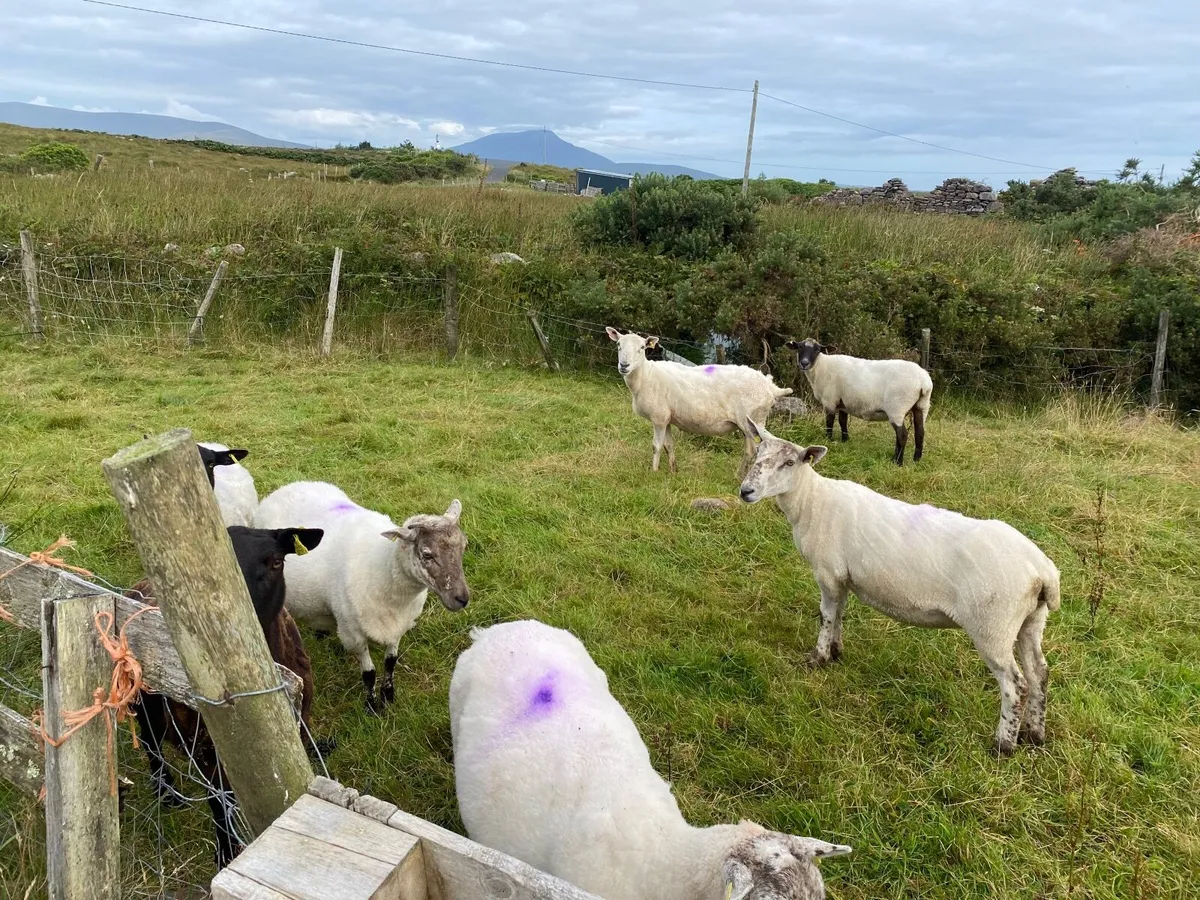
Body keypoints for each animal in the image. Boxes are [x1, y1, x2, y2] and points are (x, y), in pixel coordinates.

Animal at [128, 525, 324, 868]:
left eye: (276, 562)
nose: (234, 624)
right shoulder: (209, 749)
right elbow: (220, 802)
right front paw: (225, 852)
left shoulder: (300, 727)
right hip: (144, 698)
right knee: (151, 742)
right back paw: (166, 792)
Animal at [254, 481, 470, 713]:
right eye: (427, 554)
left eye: (464, 546)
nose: (462, 598)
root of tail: (290, 486)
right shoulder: (353, 634)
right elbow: (369, 673)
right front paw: (371, 706)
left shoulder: (398, 624)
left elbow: (390, 662)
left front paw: (388, 695)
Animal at [606, 327, 793, 475]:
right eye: (618, 345)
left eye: (642, 348)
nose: (624, 366)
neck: (645, 376)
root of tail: (770, 386)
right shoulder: (667, 418)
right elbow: (669, 446)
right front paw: (673, 471)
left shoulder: (658, 418)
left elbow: (656, 446)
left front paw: (654, 472)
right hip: (747, 424)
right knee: (749, 451)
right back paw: (739, 475)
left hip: (754, 419)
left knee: (756, 450)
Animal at [738, 419, 1061, 754]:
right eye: (758, 452)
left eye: (789, 463)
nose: (746, 491)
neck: (812, 502)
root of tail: (1043, 571)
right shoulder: (843, 578)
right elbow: (839, 614)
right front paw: (837, 651)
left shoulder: (828, 573)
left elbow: (826, 616)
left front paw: (819, 657)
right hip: (1030, 620)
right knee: (1039, 674)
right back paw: (1034, 735)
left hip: (993, 626)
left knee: (1015, 685)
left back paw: (1003, 745)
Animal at [784, 338, 932, 465]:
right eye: (800, 347)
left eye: (817, 349)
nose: (804, 363)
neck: (821, 367)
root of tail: (923, 381)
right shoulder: (843, 403)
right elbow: (843, 422)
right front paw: (845, 440)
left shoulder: (830, 400)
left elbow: (829, 422)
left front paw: (828, 440)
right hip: (921, 406)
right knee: (920, 433)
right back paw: (916, 460)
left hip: (897, 407)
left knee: (902, 435)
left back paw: (898, 462)